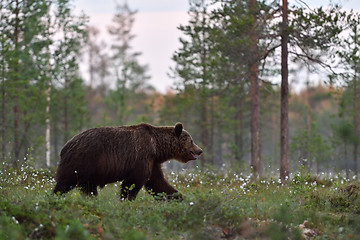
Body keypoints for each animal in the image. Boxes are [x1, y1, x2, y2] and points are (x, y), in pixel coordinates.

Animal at [54, 123, 204, 200]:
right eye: (191, 140)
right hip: (82, 161)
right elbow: (134, 182)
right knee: (65, 183)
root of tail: (65, 147)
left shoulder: (152, 162)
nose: (200, 150)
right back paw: (55, 197)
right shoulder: (142, 156)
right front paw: (126, 199)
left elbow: (158, 183)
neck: (157, 147)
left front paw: (178, 197)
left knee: (88, 188)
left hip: (89, 171)